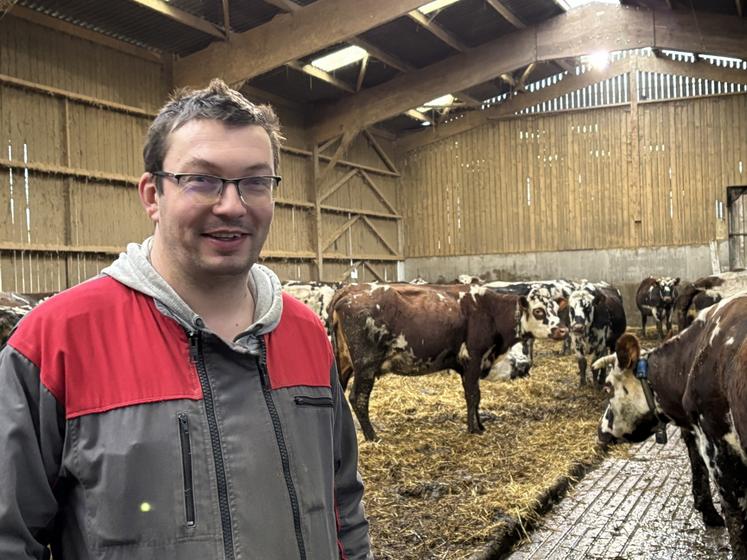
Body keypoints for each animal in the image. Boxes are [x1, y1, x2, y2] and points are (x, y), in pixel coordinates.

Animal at [328, 282, 568, 440]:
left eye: (556, 309)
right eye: (539, 311)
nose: (562, 330)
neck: (490, 310)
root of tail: (349, 290)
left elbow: (475, 397)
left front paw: (479, 425)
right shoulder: (474, 357)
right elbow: (473, 395)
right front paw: (474, 429)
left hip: (343, 363)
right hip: (366, 365)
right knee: (358, 398)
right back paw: (372, 436)